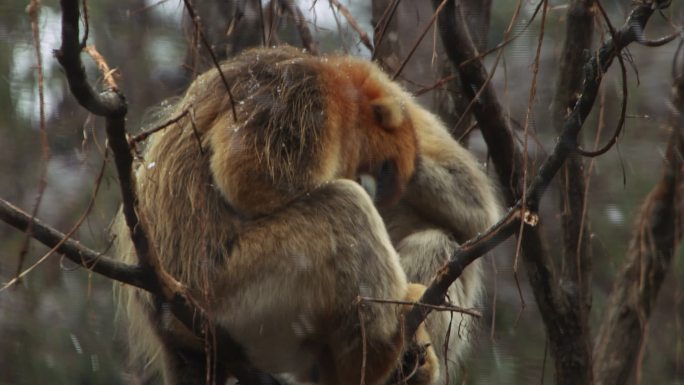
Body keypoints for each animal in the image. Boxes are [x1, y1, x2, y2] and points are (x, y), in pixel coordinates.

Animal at [115, 45, 500, 384]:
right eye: (386, 168)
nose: (383, 189)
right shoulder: (303, 94)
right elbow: (246, 175)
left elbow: (479, 212)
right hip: (228, 292)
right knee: (345, 205)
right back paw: (372, 359)